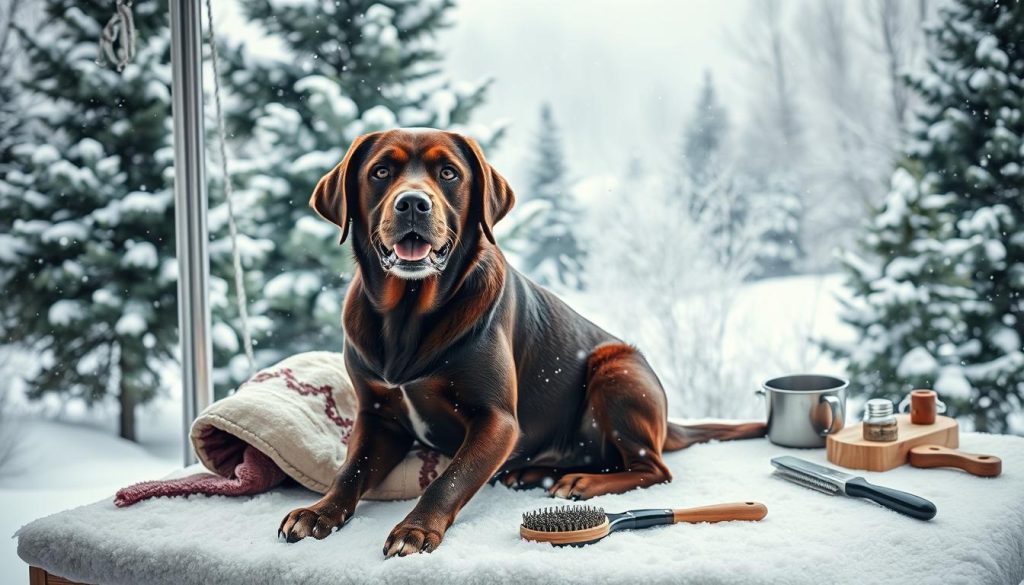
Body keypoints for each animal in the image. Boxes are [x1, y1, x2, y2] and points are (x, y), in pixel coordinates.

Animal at [276, 128, 765, 557]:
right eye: (380, 172)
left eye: (449, 173)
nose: (413, 202)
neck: (408, 314)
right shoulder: (377, 415)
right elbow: (349, 471)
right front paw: (318, 512)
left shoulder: (497, 420)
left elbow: (448, 479)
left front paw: (415, 529)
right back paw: (538, 473)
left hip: (616, 367)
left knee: (653, 468)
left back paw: (580, 482)